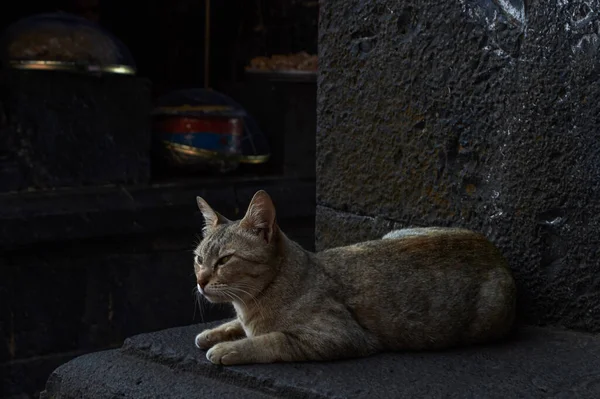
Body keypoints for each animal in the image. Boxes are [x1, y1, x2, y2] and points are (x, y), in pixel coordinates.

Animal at [192, 191, 516, 366]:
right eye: (199, 259)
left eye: (225, 260)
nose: (201, 281)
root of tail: (492, 250)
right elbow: (236, 325)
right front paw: (214, 333)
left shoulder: (339, 336)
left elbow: (271, 340)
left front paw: (229, 348)